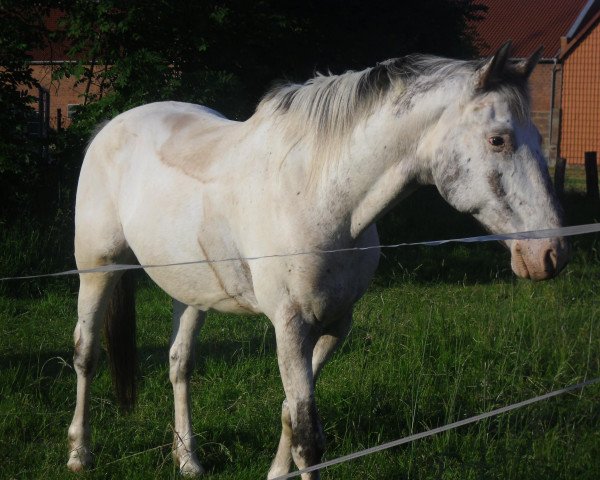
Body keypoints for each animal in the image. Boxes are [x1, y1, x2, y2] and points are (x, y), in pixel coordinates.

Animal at [68, 43, 568, 478]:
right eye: (498, 140)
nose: (549, 255)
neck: (319, 192)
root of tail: (111, 127)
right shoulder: (290, 327)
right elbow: (309, 438)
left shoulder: (335, 323)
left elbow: (291, 413)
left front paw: (274, 473)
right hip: (98, 269)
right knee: (86, 353)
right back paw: (80, 453)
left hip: (191, 290)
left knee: (179, 364)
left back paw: (188, 459)